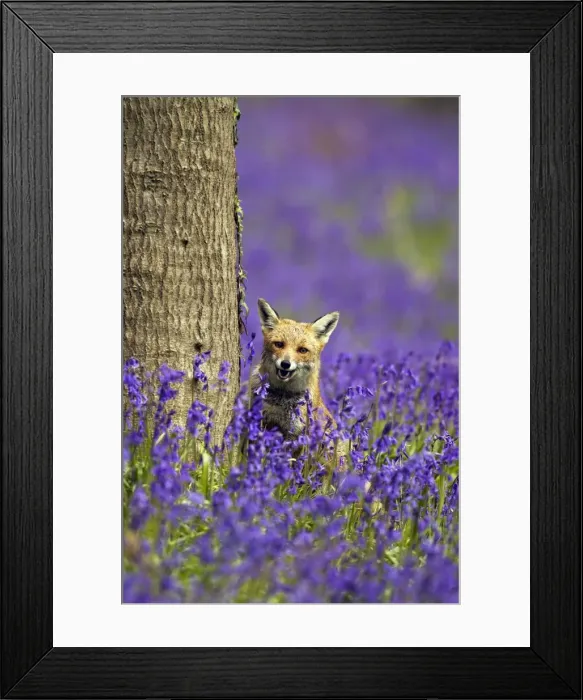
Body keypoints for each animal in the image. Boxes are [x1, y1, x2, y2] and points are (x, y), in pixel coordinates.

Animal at [251, 298, 347, 465]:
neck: (281, 398)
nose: (285, 364)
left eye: (302, 350)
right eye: (279, 344)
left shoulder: (296, 434)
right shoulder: (262, 422)